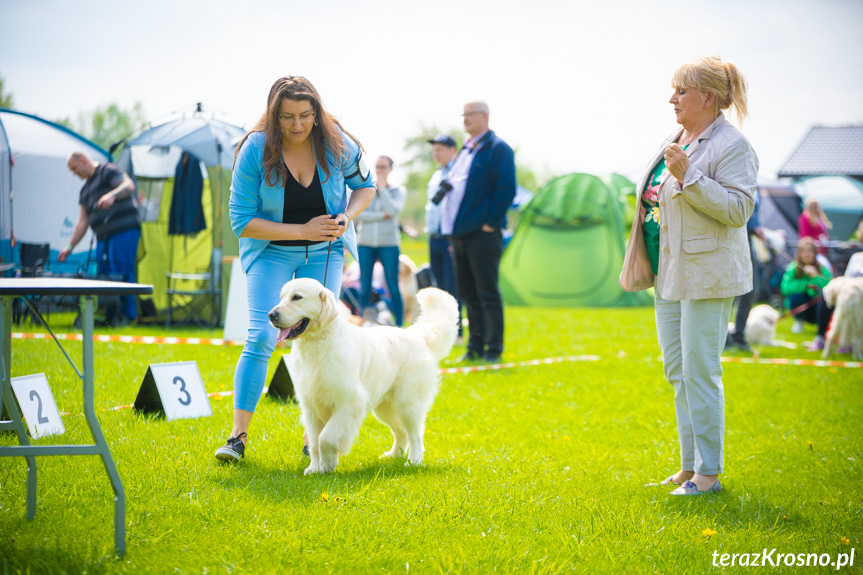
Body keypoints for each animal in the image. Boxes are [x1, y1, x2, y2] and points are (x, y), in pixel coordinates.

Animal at [268, 276, 460, 474]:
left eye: (297, 297)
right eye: (282, 297)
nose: (271, 315)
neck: (318, 342)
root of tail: (415, 335)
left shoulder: (350, 402)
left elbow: (326, 438)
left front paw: (328, 464)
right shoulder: (311, 407)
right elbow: (314, 442)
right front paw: (314, 469)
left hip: (408, 404)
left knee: (415, 434)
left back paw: (413, 461)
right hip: (385, 407)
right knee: (401, 432)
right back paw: (392, 456)